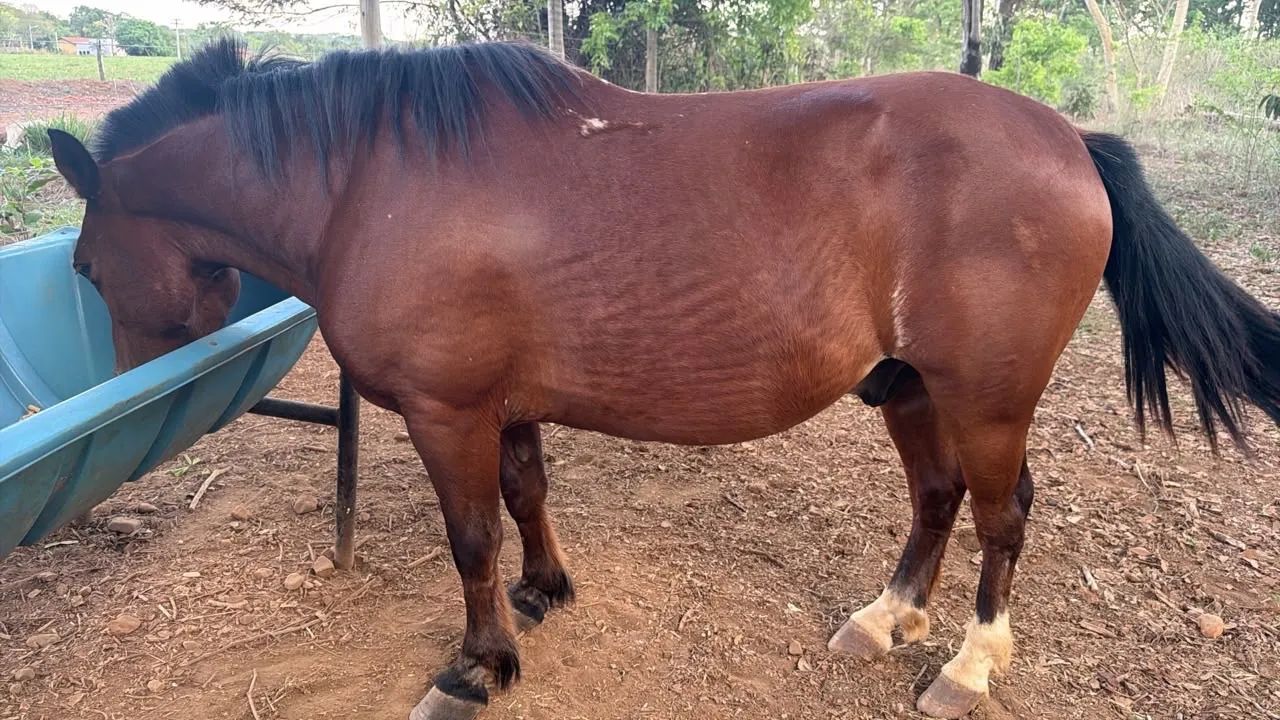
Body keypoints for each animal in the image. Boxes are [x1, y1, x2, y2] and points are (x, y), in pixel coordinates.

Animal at [48, 38, 1279, 720]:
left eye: (86, 266)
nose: (135, 392)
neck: (370, 183)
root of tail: (1071, 141)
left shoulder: (448, 413)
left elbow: (469, 538)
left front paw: (477, 667)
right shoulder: (501, 407)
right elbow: (525, 498)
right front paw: (544, 596)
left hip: (985, 399)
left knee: (1001, 515)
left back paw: (967, 668)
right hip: (909, 388)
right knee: (935, 501)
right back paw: (884, 620)